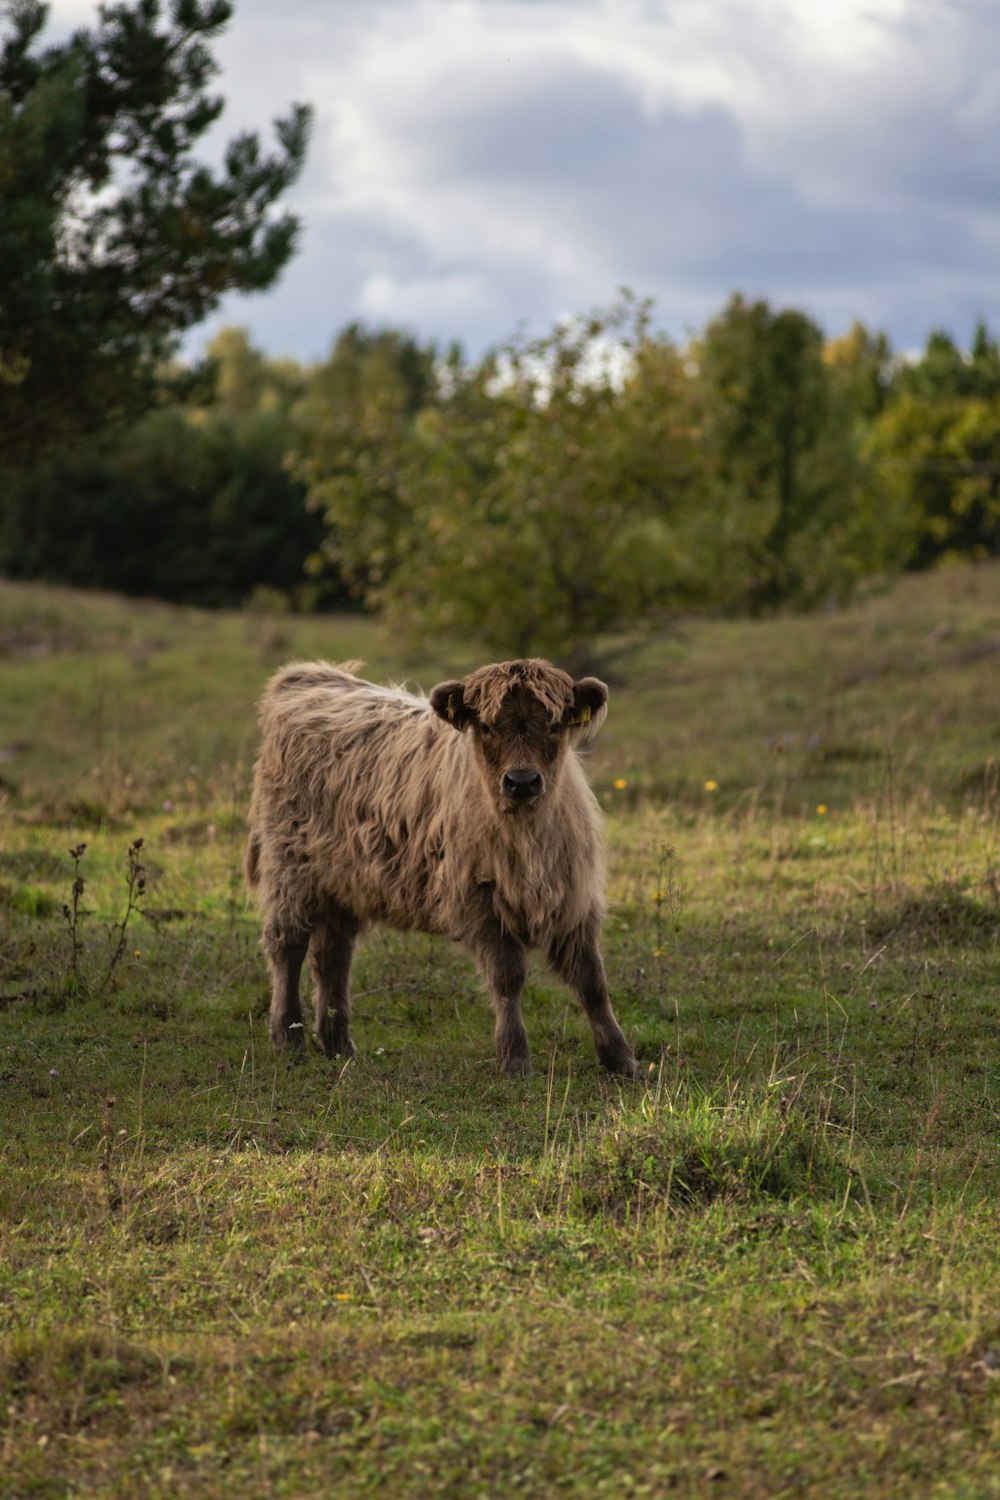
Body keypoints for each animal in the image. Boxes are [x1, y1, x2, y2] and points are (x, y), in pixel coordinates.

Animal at [245, 657, 641, 1080]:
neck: (526, 839)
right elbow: (508, 976)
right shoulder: (478, 898)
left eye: (553, 725)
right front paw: (515, 1058)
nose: (521, 782)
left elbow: (592, 980)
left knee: (333, 957)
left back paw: (338, 1045)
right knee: (288, 946)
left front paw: (621, 1059)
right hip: (291, 869)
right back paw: (288, 1039)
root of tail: (312, 674)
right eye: (486, 726)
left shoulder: (573, 899)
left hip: (343, 883)